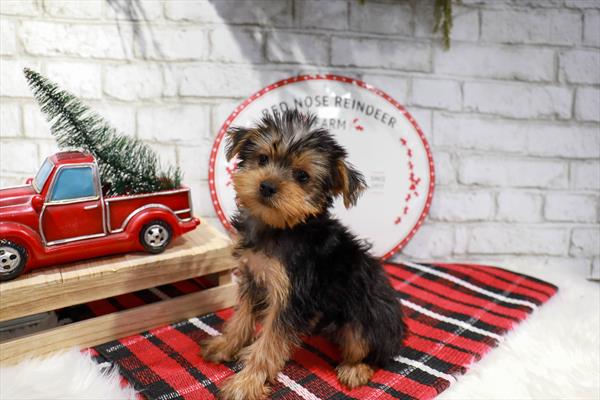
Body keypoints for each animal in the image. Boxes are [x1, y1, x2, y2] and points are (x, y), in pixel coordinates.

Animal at [204, 109, 406, 400]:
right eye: (262, 159)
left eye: (302, 176)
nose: (267, 186)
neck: (281, 227)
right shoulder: (253, 276)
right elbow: (241, 317)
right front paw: (226, 344)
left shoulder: (292, 299)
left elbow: (269, 344)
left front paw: (247, 382)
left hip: (367, 319)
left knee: (373, 351)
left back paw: (356, 369)